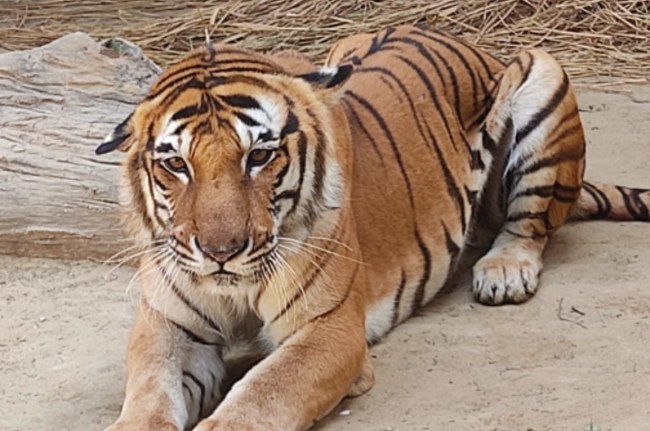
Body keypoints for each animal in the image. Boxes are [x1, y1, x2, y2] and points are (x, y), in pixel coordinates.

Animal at [96, 25, 650, 431]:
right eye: (176, 164)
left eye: (259, 156)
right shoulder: (166, 328)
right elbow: (149, 394)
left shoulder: (329, 331)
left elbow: (258, 397)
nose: (221, 251)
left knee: (529, 225)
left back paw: (504, 271)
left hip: (543, 72)